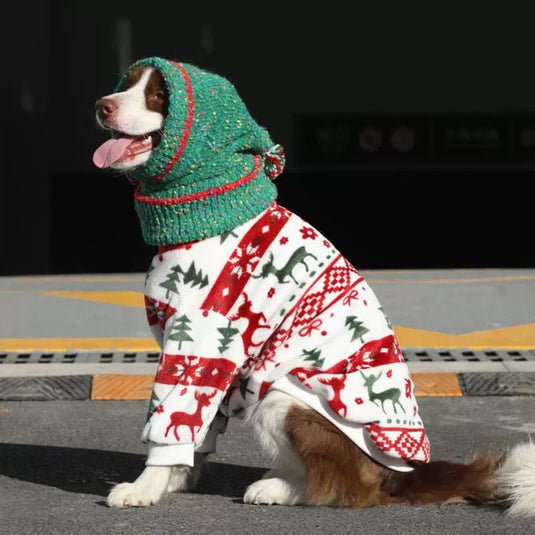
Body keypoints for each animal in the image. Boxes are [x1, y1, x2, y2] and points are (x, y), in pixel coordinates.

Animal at [94, 59, 535, 516]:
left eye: (159, 96)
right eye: (126, 85)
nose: (102, 106)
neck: (207, 209)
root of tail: (399, 476)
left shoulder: (199, 340)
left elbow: (169, 419)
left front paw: (144, 487)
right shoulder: (205, 355)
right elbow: (200, 428)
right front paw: (177, 479)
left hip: (281, 399)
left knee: (342, 487)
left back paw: (278, 489)